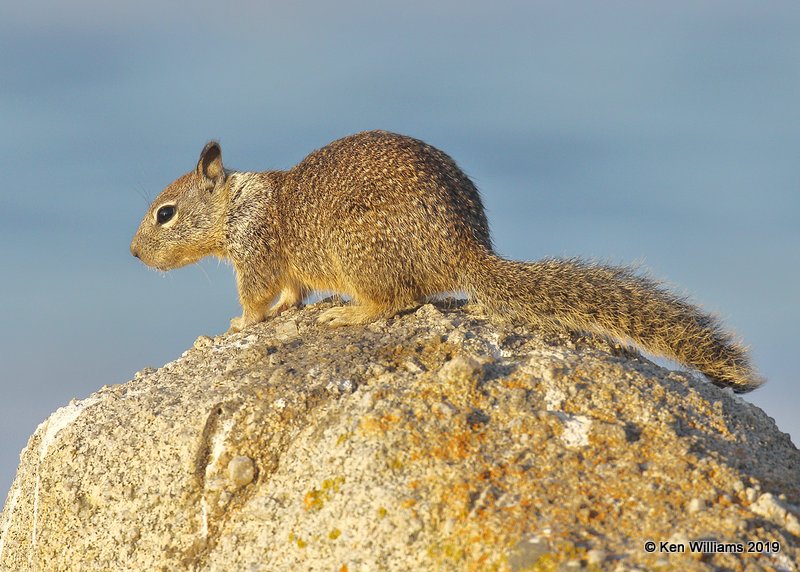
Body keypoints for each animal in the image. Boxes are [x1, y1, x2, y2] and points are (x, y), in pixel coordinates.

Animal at [134, 131, 764, 394]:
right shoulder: (284, 269)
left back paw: (349, 314)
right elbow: (290, 294)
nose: (135, 253)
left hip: (362, 252)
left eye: (164, 214)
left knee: (397, 300)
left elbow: (257, 298)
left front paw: (239, 323)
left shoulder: (258, 255)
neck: (238, 205)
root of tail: (465, 248)